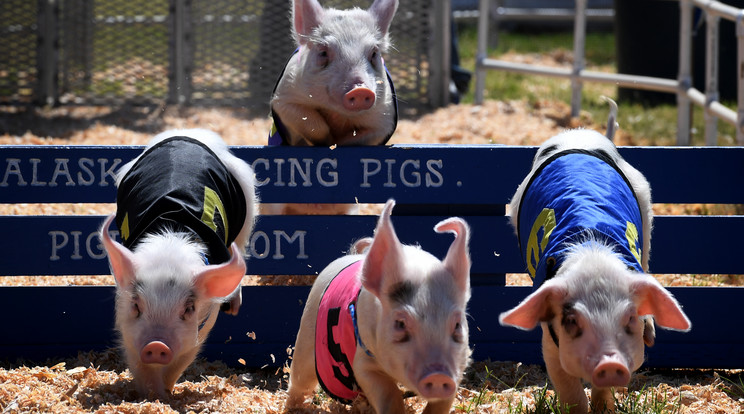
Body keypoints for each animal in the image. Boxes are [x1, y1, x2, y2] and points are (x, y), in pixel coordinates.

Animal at [99, 129, 258, 398]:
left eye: (188, 309)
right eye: (137, 305)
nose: (156, 344)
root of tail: (190, 133)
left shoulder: (204, 320)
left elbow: (184, 356)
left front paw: (166, 395)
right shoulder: (126, 319)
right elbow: (138, 362)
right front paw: (151, 397)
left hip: (246, 208)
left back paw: (234, 306)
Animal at [266, 0, 398, 148]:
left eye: (374, 53)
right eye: (323, 53)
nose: (360, 90)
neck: (336, 114)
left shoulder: (385, 117)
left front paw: (336, 143)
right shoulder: (283, 97)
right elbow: (312, 123)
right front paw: (328, 141)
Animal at [284, 199, 470, 412]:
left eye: (457, 325)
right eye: (400, 323)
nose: (439, 375)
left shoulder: (459, 365)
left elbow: (441, 404)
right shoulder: (363, 361)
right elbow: (389, 395)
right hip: (306, 336)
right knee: (300, 380)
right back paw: (292, 408)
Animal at [500, 124, 692, 412]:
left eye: (630, 318)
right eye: (571, 320)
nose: (609, 363)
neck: (593, 252)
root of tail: (579, 133)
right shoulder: (550, 341)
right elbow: (571, 393)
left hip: (646, 212)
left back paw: (650, 334)